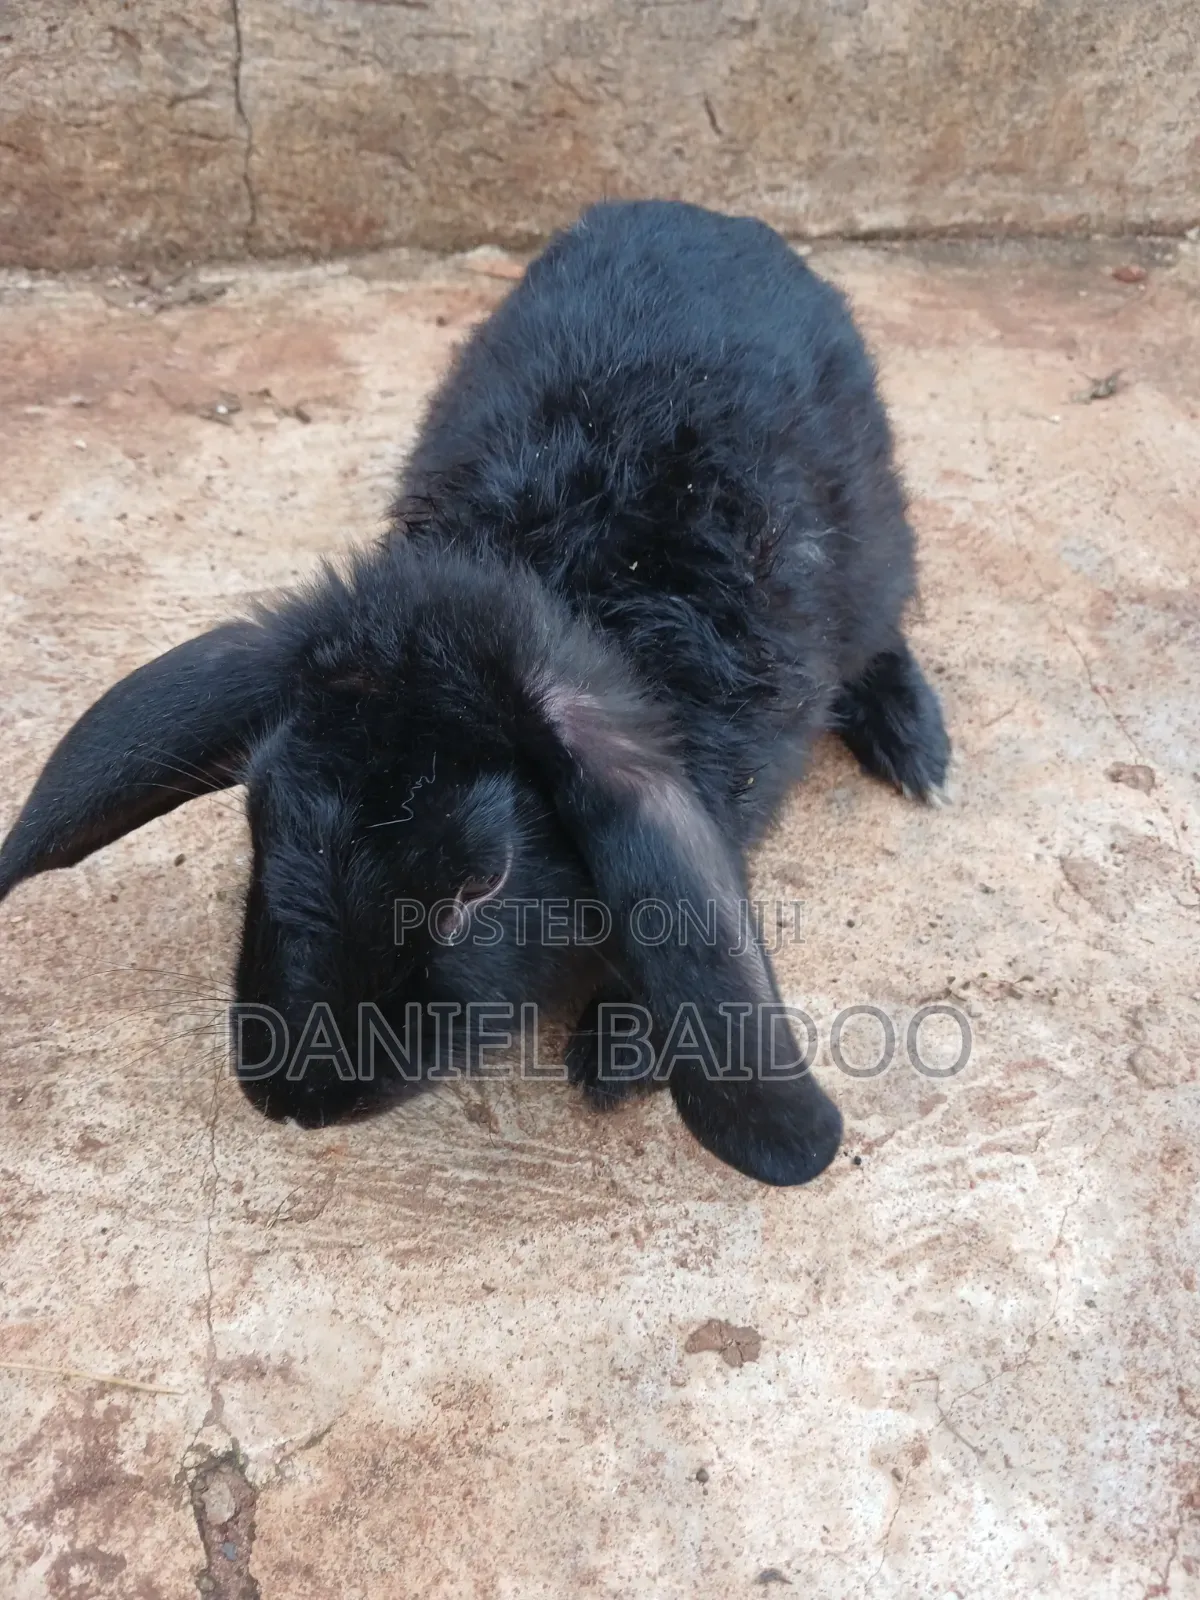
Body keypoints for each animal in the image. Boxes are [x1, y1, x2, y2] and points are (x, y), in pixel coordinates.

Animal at [0, 200, 949, 1186]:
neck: (574, 576)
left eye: (478, 889)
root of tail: (712, 218)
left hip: (876, 543)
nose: (295, 1099)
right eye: (259, 824)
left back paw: (915, 746)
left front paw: (617, 1057)